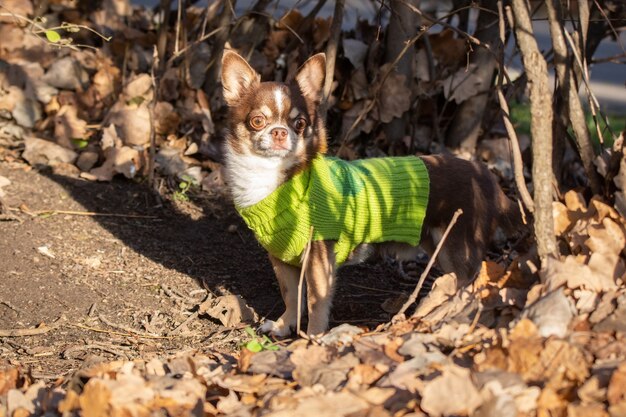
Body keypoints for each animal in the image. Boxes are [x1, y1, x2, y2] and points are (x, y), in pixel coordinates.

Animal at [219, 49, 520, 334]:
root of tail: (488, 179)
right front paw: (284, 326)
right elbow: (291, 296)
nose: (280, 132)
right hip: (439, 246)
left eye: (300, 124)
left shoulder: (319, 261)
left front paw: (312, 338)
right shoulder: (282, 259)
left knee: (472, 287)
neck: (276, 178)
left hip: (457, 248)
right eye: (258, 121)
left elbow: (316, 302)